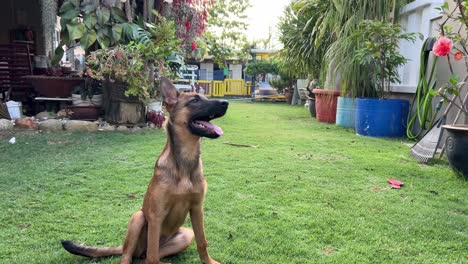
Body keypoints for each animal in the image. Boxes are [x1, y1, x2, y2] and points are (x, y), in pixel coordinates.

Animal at [62, 77, 229, 262]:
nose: (226, 103)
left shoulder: (197, 209)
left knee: (145, 258)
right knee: (132, 256)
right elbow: (153, 255)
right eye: (195, 100)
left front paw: (209, 261)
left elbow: (202, 242)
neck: (184, 161)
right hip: (138, 217)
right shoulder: (156, 215)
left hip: (186, 234)